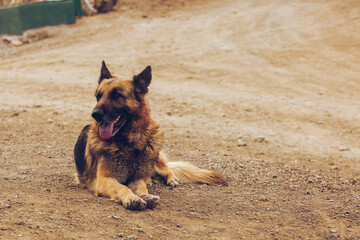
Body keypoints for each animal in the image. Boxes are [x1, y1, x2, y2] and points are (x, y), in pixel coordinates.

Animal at [74, 62, 226, 210]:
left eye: (117, 95)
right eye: (98, 96)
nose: (95, 114)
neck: (128, 142)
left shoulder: (137, 178)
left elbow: (141, 187)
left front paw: (145, 195)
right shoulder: (104, 179)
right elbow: (122, 187)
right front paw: (133, 198)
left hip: (155, 158)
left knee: (167, 170)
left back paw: (171, 179)